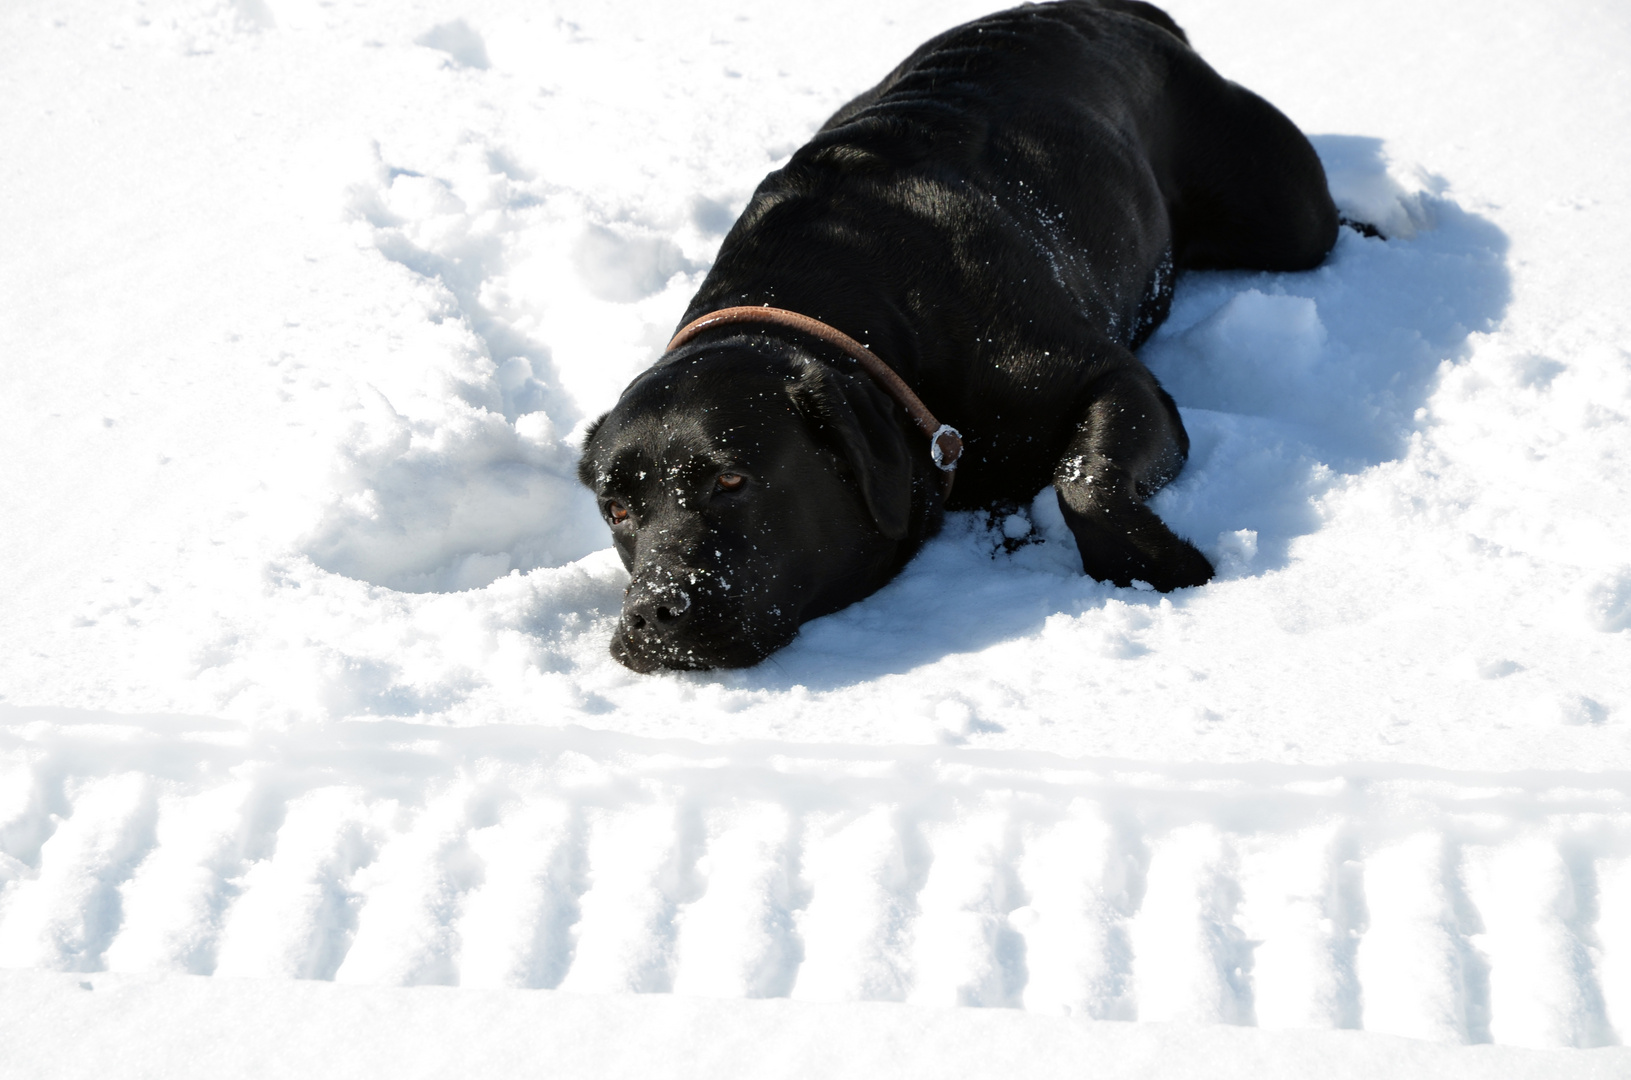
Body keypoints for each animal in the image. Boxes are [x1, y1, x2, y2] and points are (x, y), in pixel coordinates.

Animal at [580, 2, 1330, 678]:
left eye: (731, 479)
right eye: (616, 509)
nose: (649, 613)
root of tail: (1117, 11)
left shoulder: (1112, 377)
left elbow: (1083, 483)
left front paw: (1164, 567)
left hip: (1286, 217)